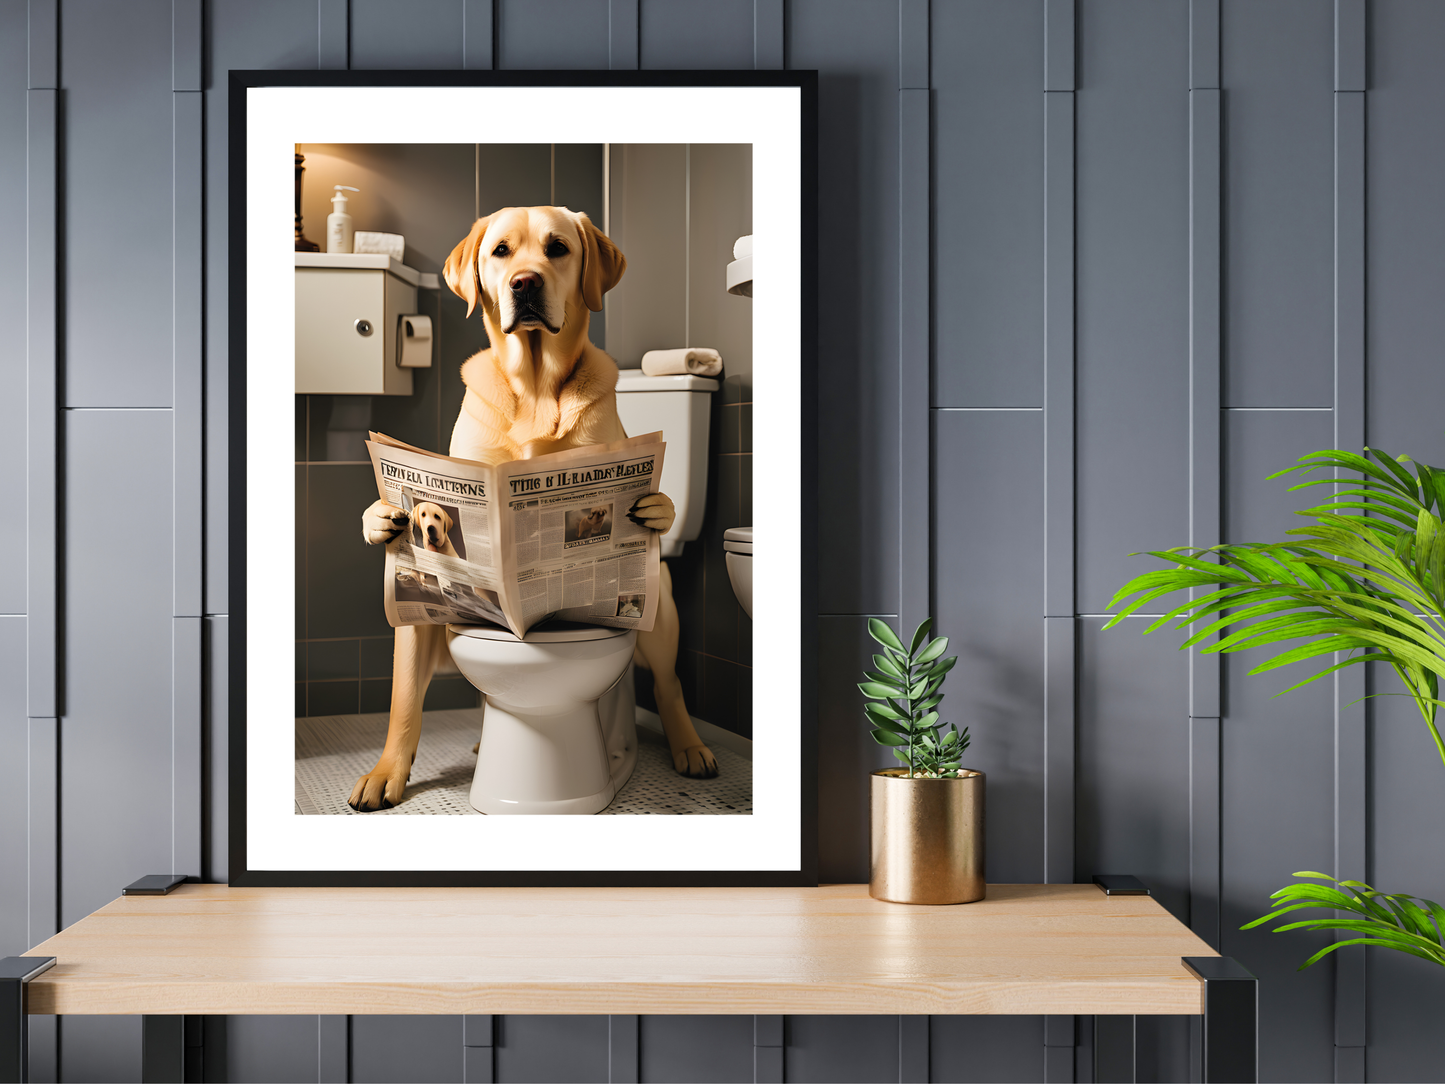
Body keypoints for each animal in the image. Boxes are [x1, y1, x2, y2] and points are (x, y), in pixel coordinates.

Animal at [351, 205, 722, 815]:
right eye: (501, 251)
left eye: (557, 248)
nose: (524, 283)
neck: (534, 387)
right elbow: (404, 702)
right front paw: (386, 775)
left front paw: (655, 507)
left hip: (658, 602)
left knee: (668, 685)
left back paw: (689, 747)